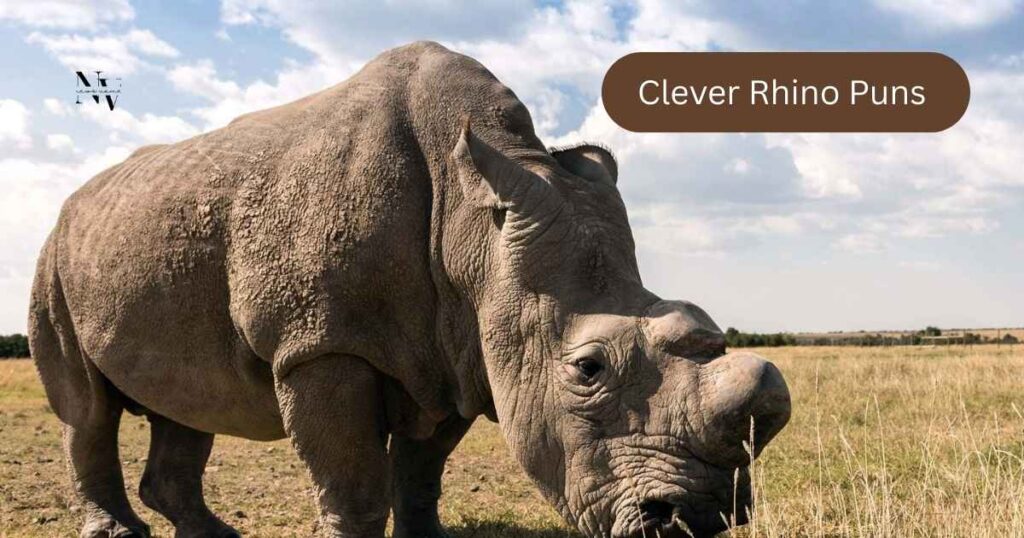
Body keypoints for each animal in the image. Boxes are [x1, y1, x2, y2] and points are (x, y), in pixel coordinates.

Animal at [29, 41, 790, 538]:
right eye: (588, 368)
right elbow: (355, 483)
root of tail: (73, 205)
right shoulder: (320, 342)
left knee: (184, 402)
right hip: (54, 258)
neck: (473, 229)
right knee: (88, 410)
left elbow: (422, 472)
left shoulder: (457, 349)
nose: (697, 520)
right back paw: (117, 531)